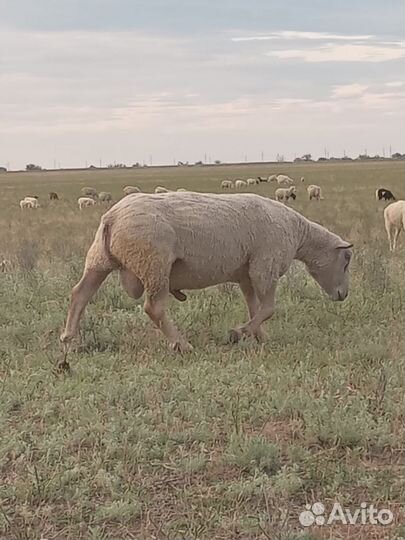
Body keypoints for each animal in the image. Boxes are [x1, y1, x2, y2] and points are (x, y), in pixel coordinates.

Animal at [60, 192, 354, 352]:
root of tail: (112, 217)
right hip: (154, 264)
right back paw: (181, 345)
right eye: (347, 259)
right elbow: (269, 308)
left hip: (100, 258)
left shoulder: (247, 274)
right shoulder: (265, 267)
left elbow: (255, 307)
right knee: (154, 308)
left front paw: (259, 336)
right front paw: (239, 333)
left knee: (80, 294)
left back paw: (69, 339)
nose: (343, 295)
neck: (299, 234)